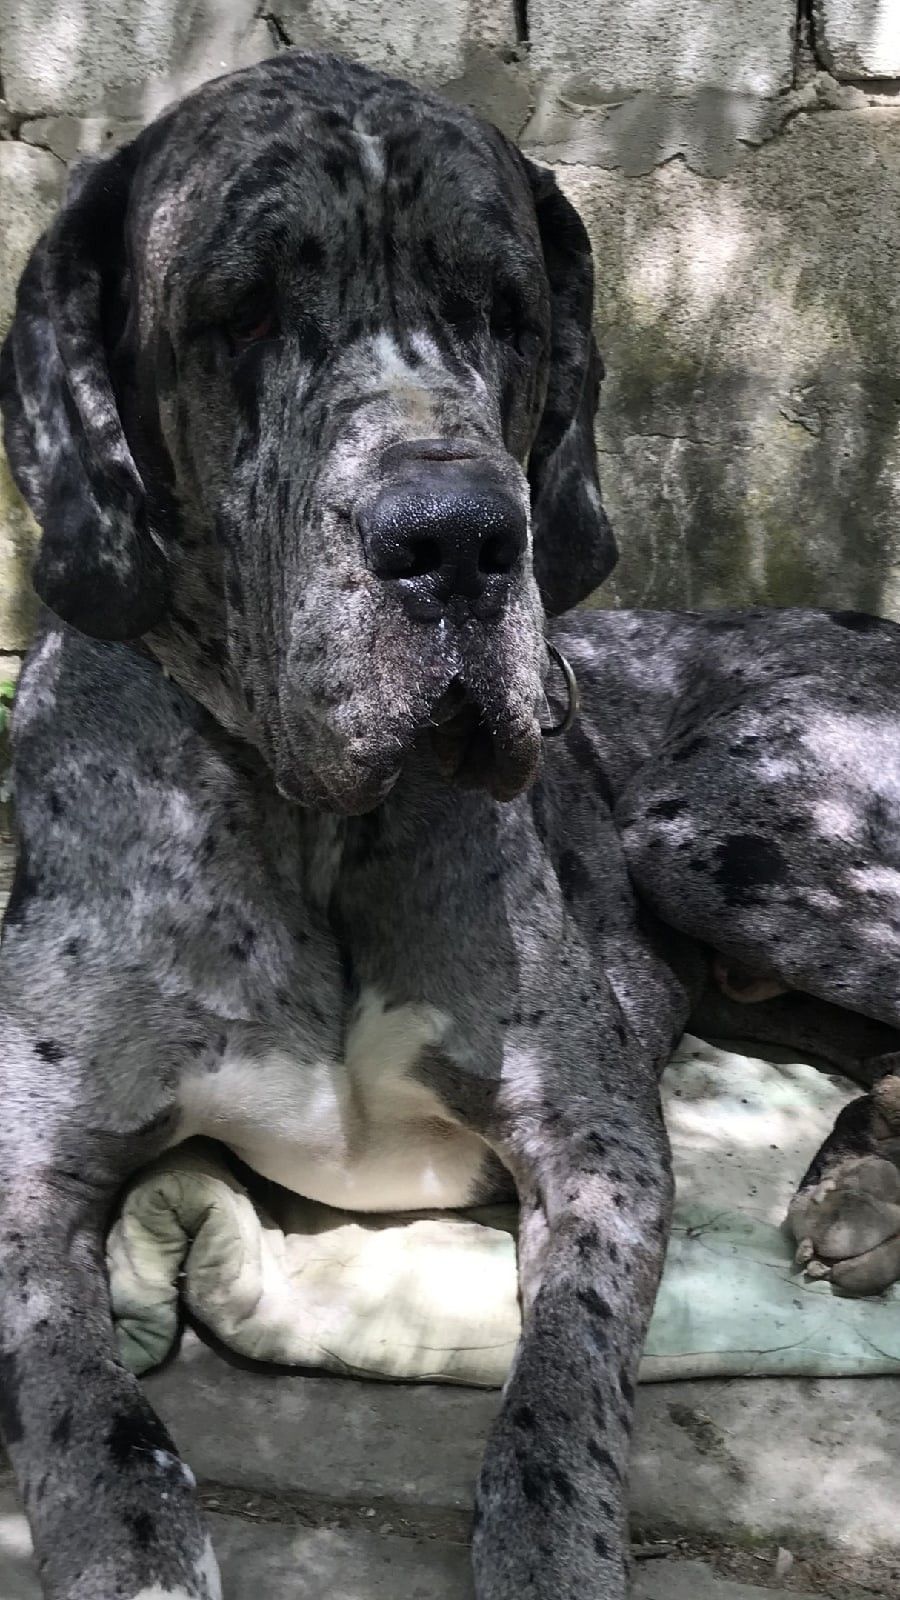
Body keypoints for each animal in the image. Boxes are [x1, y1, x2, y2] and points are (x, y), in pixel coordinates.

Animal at [2, 48, 900, 1600]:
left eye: (503, 310)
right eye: (242, 311)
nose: (460, 538)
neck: (304, 828)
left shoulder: (597, 1137)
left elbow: (563, 1387)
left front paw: (552, 1546)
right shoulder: (21, 1173)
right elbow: (85, 1407)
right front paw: (131, 1546)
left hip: (719, 829)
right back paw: (871, 1175)